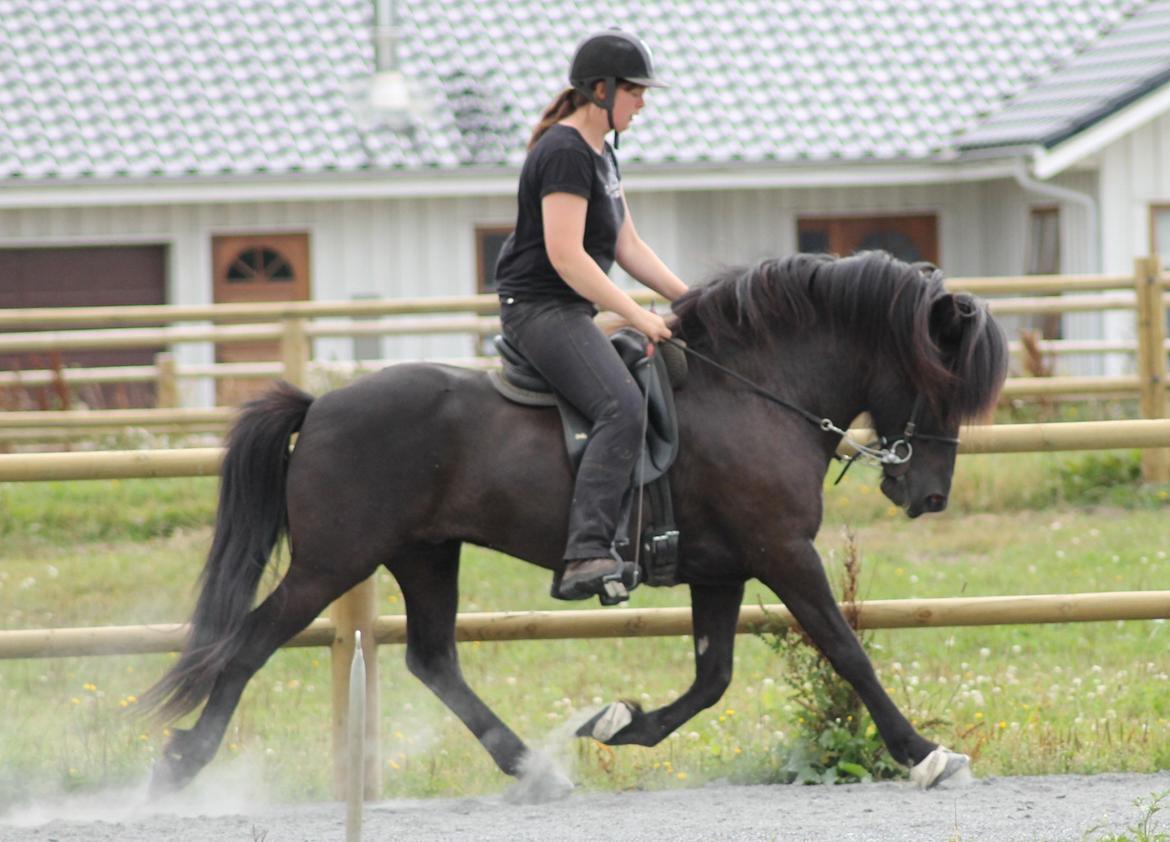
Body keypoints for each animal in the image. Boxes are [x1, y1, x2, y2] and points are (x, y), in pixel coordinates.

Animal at [143, 250, 1006, 795]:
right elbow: (847, 651)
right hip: (332, 563)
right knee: (250, 643)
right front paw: (925, 755)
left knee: (433, 659)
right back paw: (180, 765)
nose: (928, 496)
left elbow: (713, 678)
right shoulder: (783, 552)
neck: (753, 390)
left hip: (425, 555)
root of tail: (319, 405)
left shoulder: (723, 568)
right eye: (942, 385)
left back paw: (534, 769)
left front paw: (620, 723)